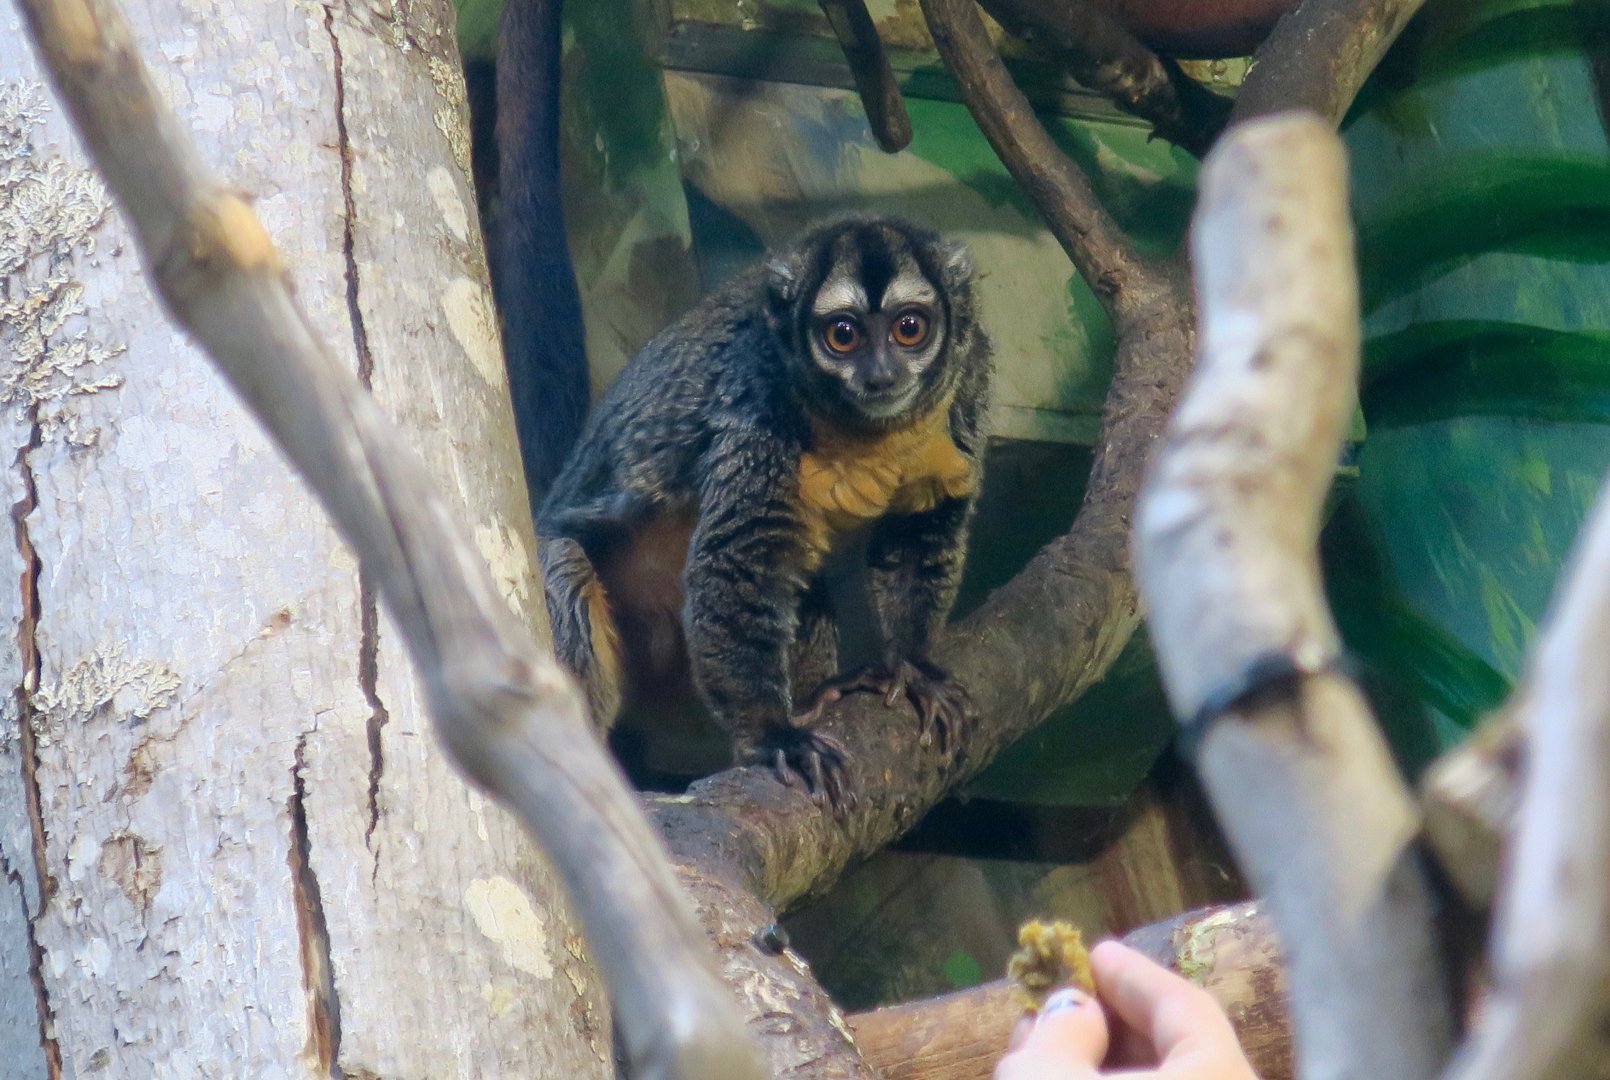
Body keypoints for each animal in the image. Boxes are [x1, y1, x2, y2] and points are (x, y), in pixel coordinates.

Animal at [537, 216, 994, 813]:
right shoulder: (758, 400)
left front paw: (913, 668)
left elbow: (922, 528)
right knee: (565, 569)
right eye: (843, 335)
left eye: (909, 328)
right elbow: (741, 557)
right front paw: (774, 734)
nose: (880, 374)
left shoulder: (969, 383)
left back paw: (820, 694)